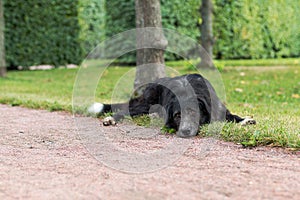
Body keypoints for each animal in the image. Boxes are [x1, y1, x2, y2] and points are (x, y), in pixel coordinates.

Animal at [89, 73, 255, 138]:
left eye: (194, 113)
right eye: (177, 115)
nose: (185, 131)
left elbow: (232, 116)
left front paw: (245, 120)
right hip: (146, 103)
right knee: (127, 110)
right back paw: (111, 119)